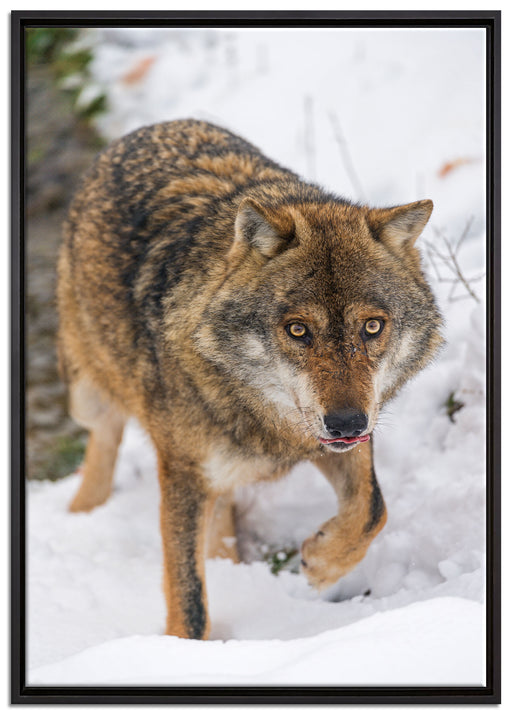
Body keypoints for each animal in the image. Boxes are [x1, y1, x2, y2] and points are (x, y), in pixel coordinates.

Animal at [57, 119, 443, 640]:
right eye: (297, 330)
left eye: (372, 326)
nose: (346, 423)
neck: (259, 416)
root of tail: (150, 128)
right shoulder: (182, 472)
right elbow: (189, 597)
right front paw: (181, 648)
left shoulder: (339, 438)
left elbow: (372, 508)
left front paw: (323, 562)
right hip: (89, 394)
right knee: (103, 441)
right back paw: (80, 515)